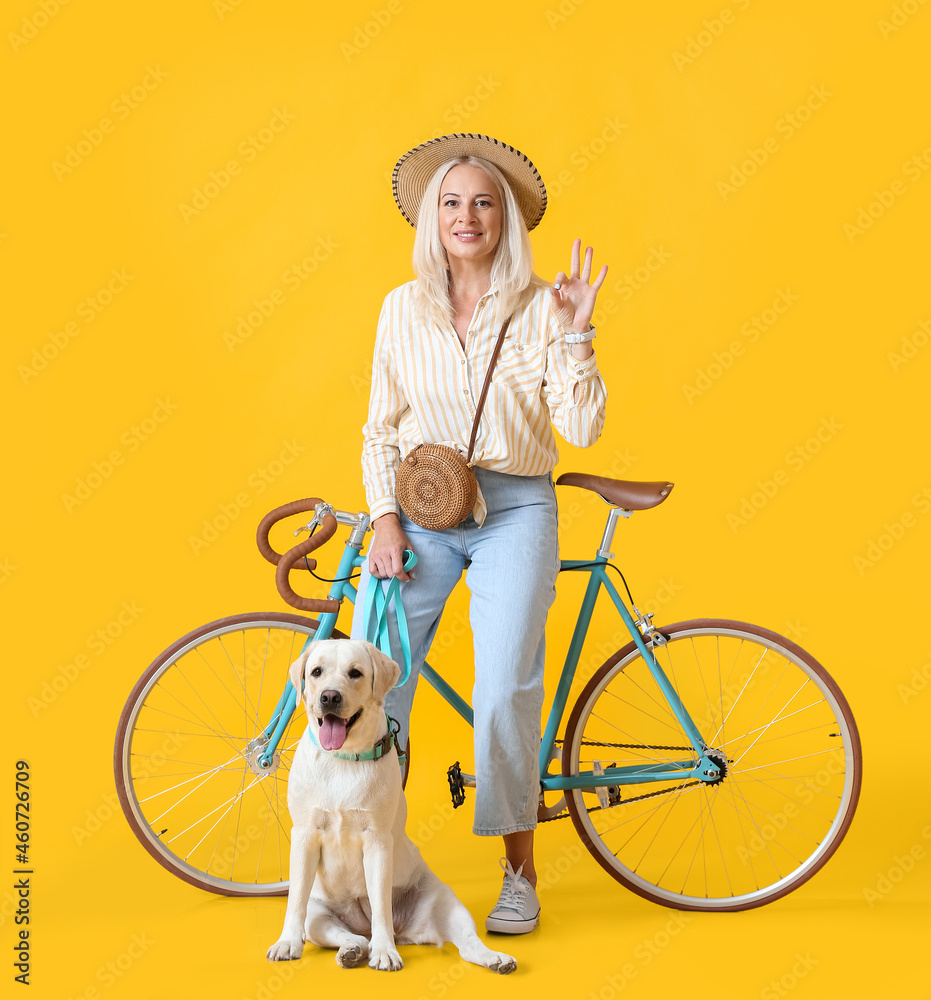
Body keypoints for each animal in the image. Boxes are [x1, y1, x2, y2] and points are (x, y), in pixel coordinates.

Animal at [268, 640, 516, 976]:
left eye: (355, 673)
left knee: (467, 944)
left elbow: (381, 907)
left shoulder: (377, 841)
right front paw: (287, 943)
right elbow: (294, 901)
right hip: (318, 915)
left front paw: (385, 952)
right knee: (349, 934)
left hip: (447, 903)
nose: (329, 696)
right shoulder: (305, 835)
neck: (344, 758)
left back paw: (495, 958)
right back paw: (352, 950)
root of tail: (404, 933)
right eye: (316, 671)